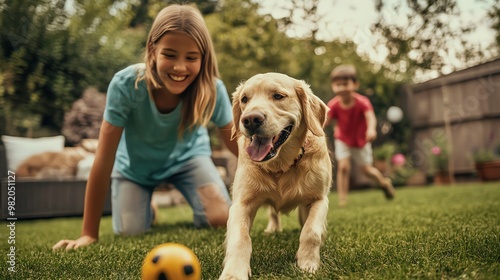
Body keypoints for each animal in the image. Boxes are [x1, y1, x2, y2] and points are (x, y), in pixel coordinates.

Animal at [221, 73, 334, 278]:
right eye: (244, 99)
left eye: (278, 96)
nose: (250, 120)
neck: (281, 165)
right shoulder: (241, 203)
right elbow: (240, 238)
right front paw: (233, 272)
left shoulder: (319, 199)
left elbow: (311, 231)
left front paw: (307, 263)